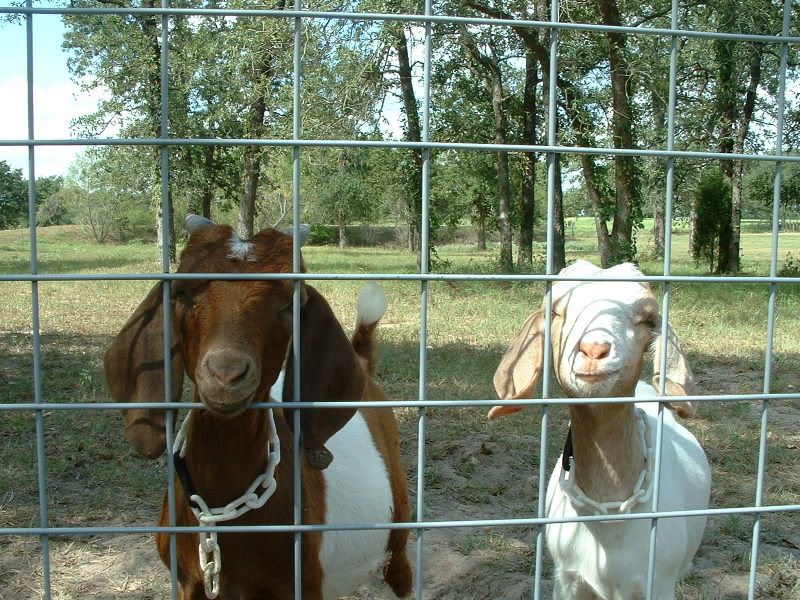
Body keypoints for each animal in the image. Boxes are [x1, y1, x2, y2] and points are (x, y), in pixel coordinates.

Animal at [104, 215, 412, 600]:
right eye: (182, 293)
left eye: (290, 304)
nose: (225, 373)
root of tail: (364, 365)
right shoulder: (189, 581)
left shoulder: (301, 584)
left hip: (399, 529)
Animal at [489, 260, 711, 600]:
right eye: (558, 311)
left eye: (647, 319)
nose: (594, 349)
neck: (608, 517)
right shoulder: (568, 580)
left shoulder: (658, 582)